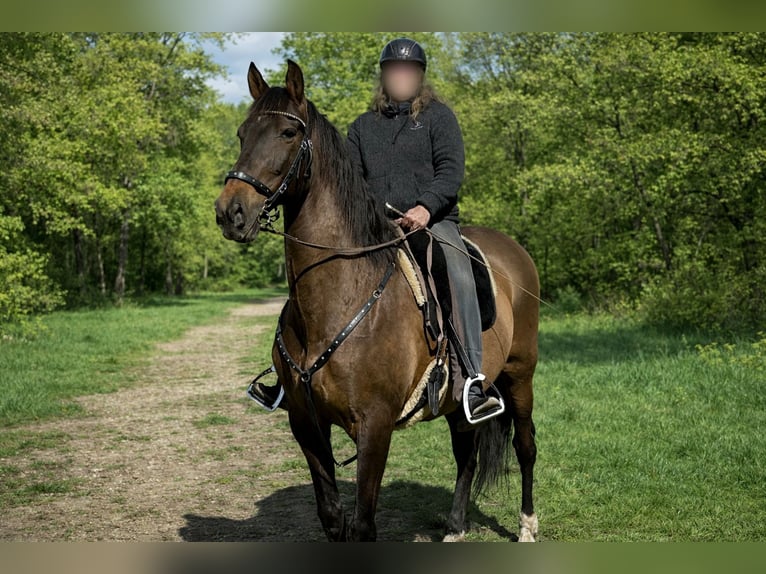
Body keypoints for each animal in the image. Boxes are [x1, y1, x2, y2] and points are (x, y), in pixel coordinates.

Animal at [214, 60, 540, 542]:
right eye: (241, 134)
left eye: (288, 134)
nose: (230, 212)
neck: (336, 301)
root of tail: (514, 252)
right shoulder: (306, 425)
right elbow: (334, 519)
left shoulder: (375, 426)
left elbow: (364, 525)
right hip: (459, 399)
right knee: (466, 451)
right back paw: (455, 526)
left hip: (520, 377)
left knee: (525, 446)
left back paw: (527, 526)